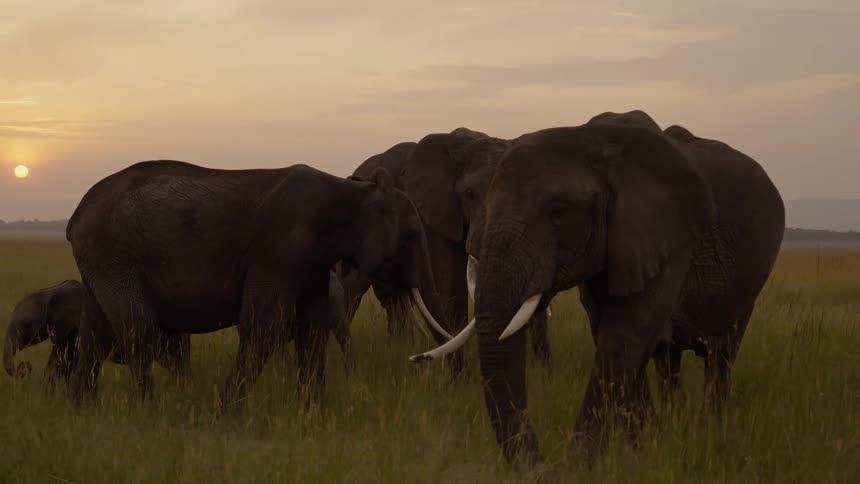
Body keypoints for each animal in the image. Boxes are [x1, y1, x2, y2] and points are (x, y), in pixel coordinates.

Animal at [3, 280, 190, 387]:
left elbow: (67, 365)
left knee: (175, 362)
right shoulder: (66, 332)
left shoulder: (77, 330)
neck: (51, 292)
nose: (24, 367)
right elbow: (56, 364)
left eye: (26, 324)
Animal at [64, 160, 448, 409]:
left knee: (93, 335)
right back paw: (150, 410)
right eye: (411, 236)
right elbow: (267, 324)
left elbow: (312, 329)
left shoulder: (312, 262)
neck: (353, 189)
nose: (416, 359)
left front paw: (314, 414)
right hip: (114, 256)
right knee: (137, 330)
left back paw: (82, 409)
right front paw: (225, 410)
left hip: (102, 265)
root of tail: (75, 218)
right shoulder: (281, 248)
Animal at [428, 112, 785, 466]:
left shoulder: (667, 239)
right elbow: (612, 336)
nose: (542, 464)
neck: (594, 138)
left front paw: (580, 463)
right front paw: (643, 445)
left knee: (720, 356)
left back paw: (711, 425)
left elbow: (623, 337)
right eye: (473, 200)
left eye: (560, 213)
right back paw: (677, 421)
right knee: (668, 361)